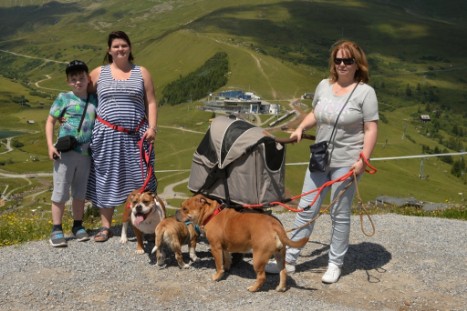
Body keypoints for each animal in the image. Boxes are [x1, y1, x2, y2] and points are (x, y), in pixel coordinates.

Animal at [177, 194, 308, 294]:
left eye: (185, 209)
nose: (176, 212)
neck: (212, 214)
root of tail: (274, 225)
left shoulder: (215, 247)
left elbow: (219, 264)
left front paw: (217, 276)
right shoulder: (224, 247)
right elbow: (227, 258)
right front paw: (227, 268)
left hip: (258, 257)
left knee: (262, 277)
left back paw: (253, 288)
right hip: (279, 255)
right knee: (283, 271)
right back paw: (281, 288)